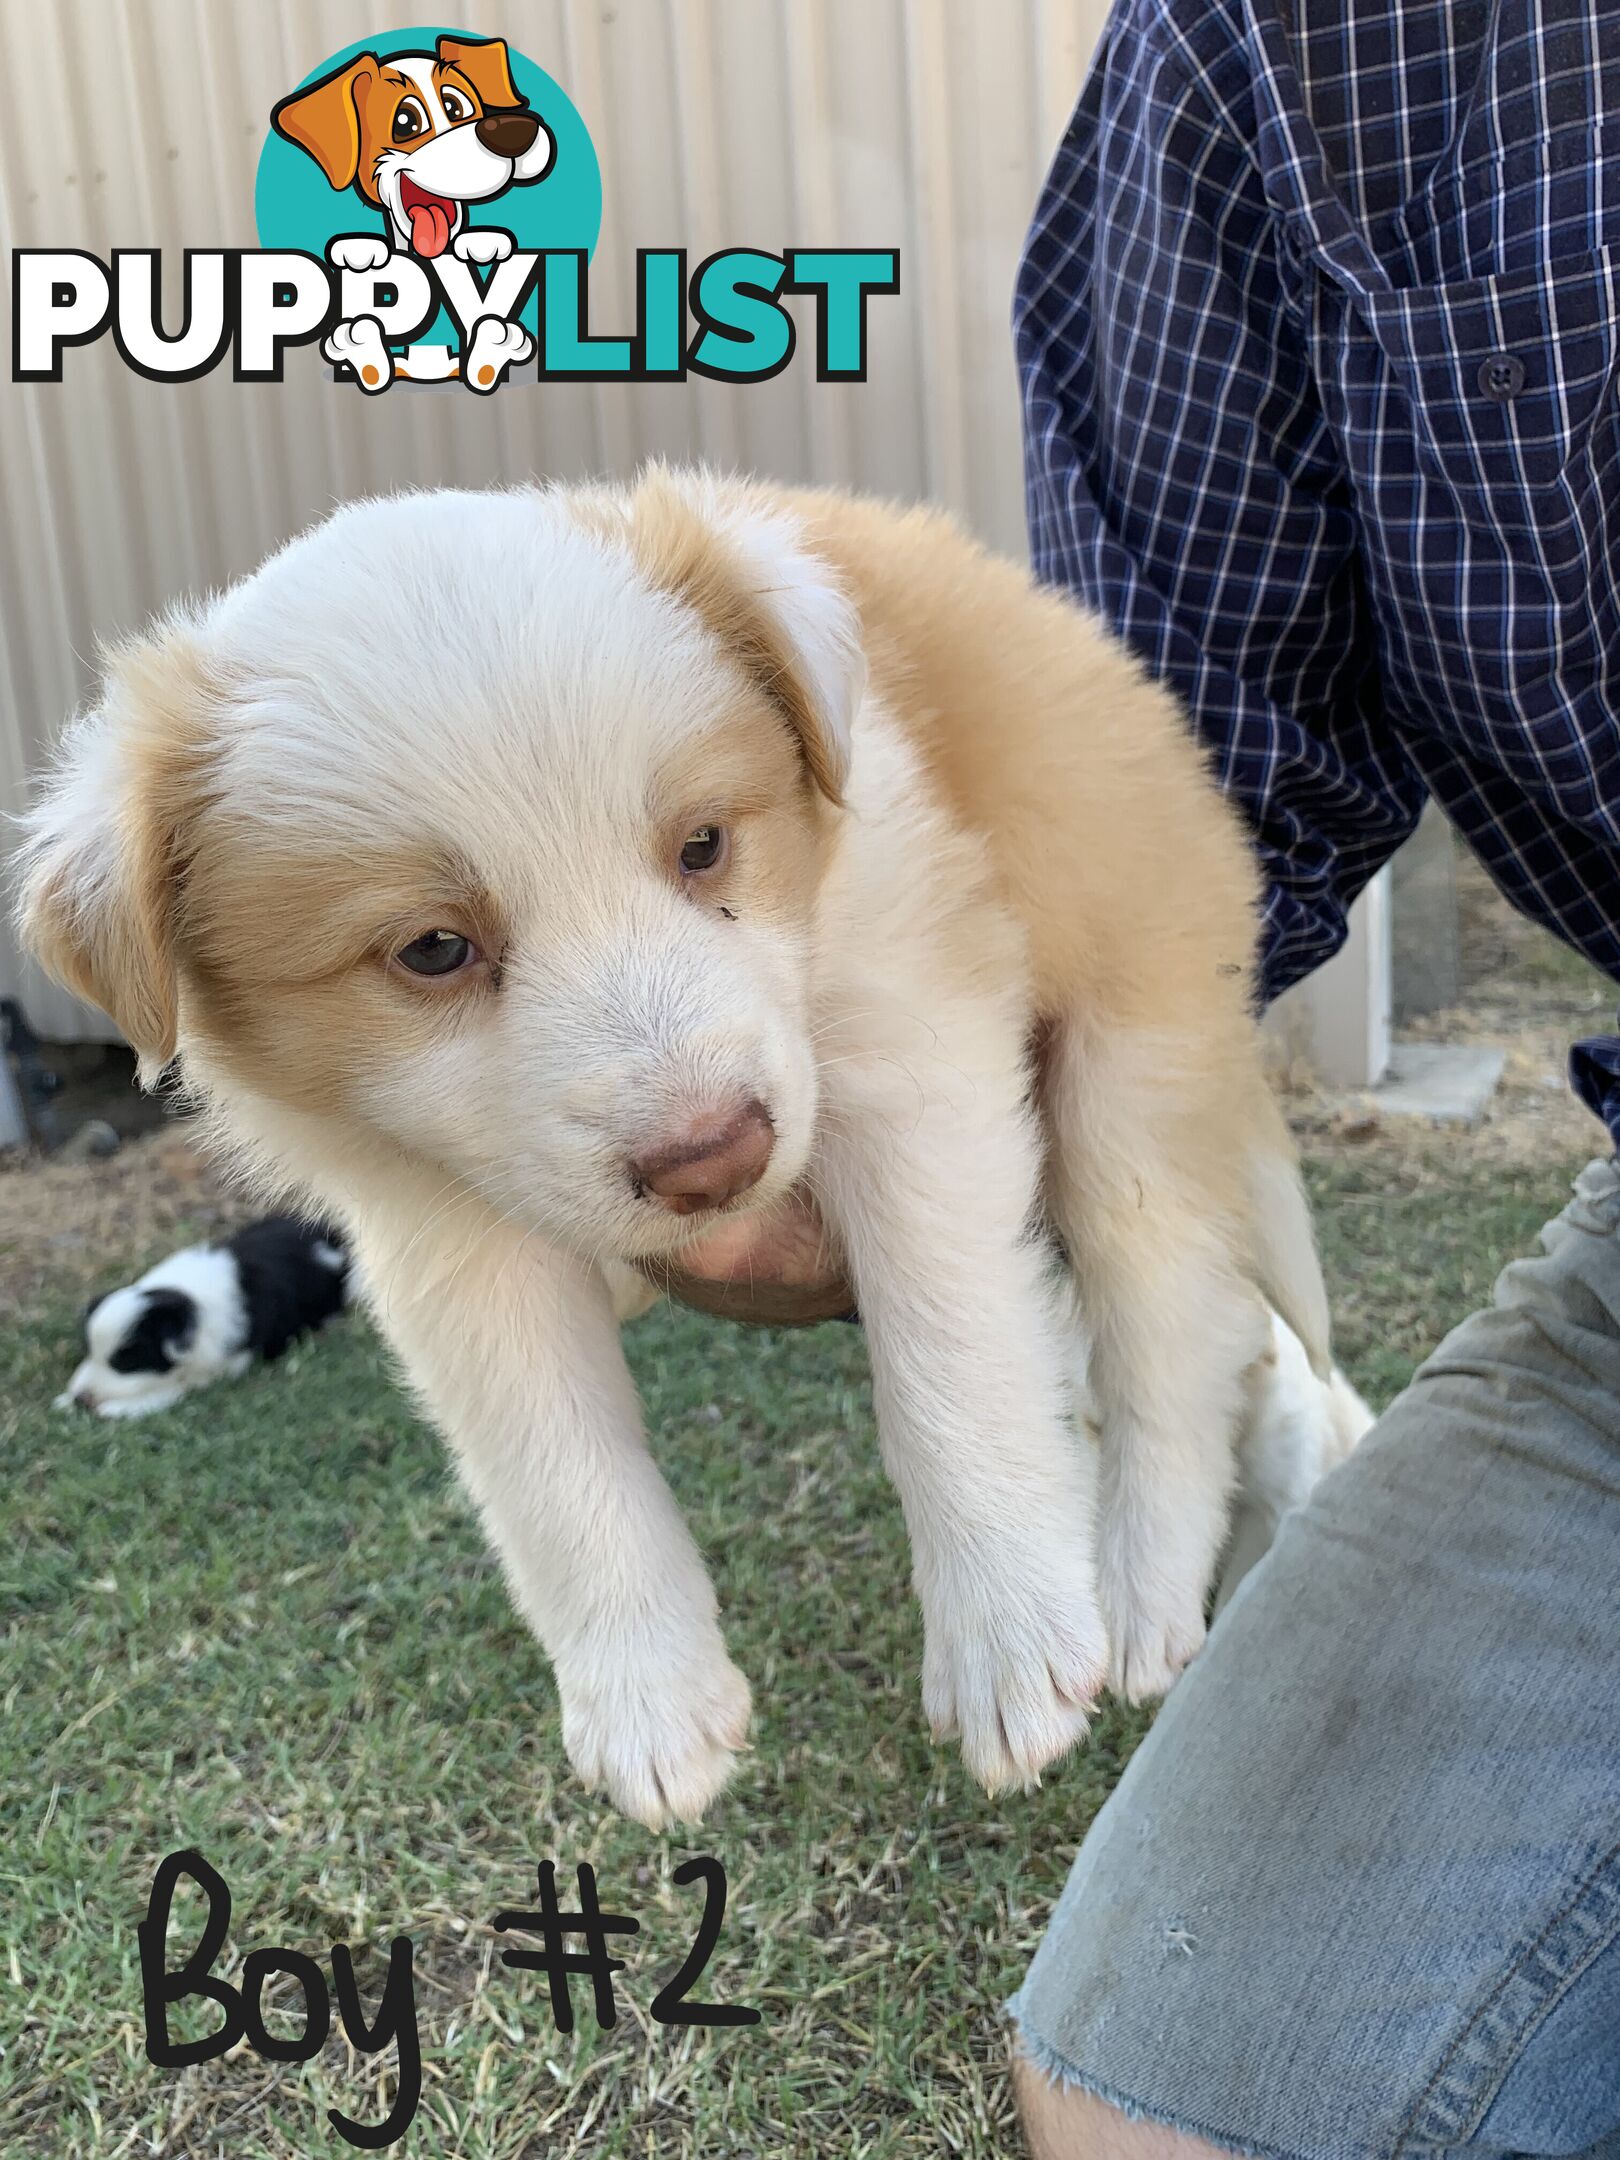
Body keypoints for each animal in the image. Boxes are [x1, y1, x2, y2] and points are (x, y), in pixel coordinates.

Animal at [59, 1218, 349, 1416]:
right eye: (87, 1351)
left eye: (127, 1360)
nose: (82, 1398)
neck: (187, 1298)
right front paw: (65, 1401)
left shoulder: (224, 1366)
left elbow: (176, 1388)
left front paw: (119, 1408)